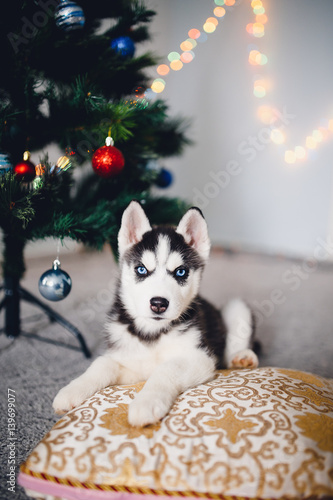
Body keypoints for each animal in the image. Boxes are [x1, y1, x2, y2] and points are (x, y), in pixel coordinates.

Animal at [53, 201, 258, 428]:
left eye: (180, 272)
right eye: (141, 269)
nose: (158, 304)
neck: (153, 332)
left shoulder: (201, 358)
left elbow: (166, 368)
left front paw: (147, 402)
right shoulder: (132, 365)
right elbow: (102, 364)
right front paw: (72, 390)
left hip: (236, 308)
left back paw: (242, 358)